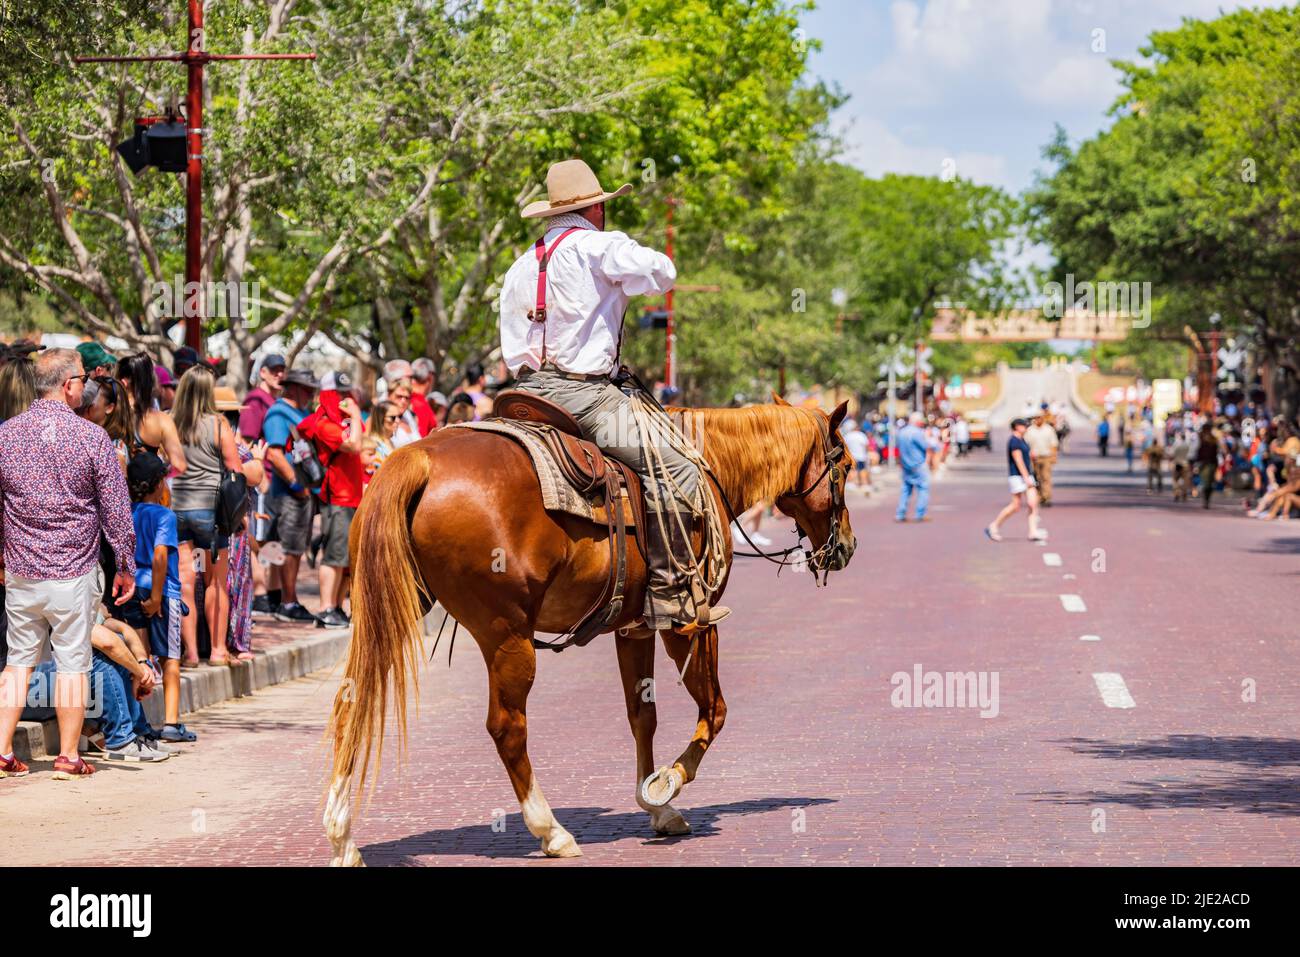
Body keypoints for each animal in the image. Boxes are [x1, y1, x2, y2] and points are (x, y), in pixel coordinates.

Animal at [322, 397, 852, 868]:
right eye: (845, 466)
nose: (845, 546)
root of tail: (420, 457)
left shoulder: (634, 629)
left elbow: (643, 716)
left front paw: (658, 807)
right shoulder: (690, 622)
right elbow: (715, 710)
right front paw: (668, 781)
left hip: (389, 608)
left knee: (353, 703)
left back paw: (342, 837)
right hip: (506, 635)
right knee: (507, 727)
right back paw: (550, 831)